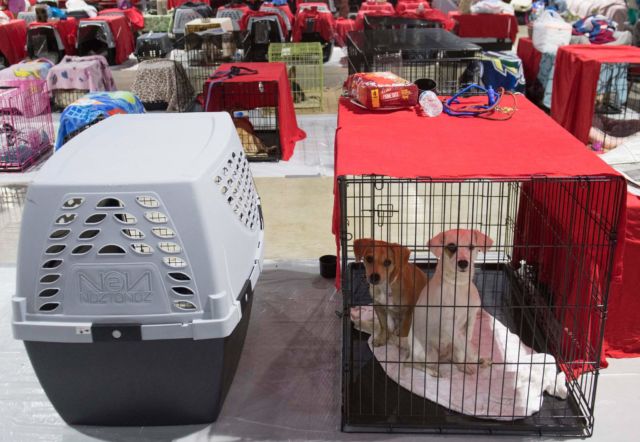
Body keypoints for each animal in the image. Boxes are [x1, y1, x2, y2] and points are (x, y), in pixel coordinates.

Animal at [404, 228, 496, 376]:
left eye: (472, 246)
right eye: (452, 247)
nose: (463, 263)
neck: (458, 285)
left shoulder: (471, 317)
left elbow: (466, 341)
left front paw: (471, 359)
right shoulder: (448, 324)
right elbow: (466, 344)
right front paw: (472, 354)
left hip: (450, 348)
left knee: (456, 359)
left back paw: (477, 361)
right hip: (429, 355)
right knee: (410, 363)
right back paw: (433, 372)